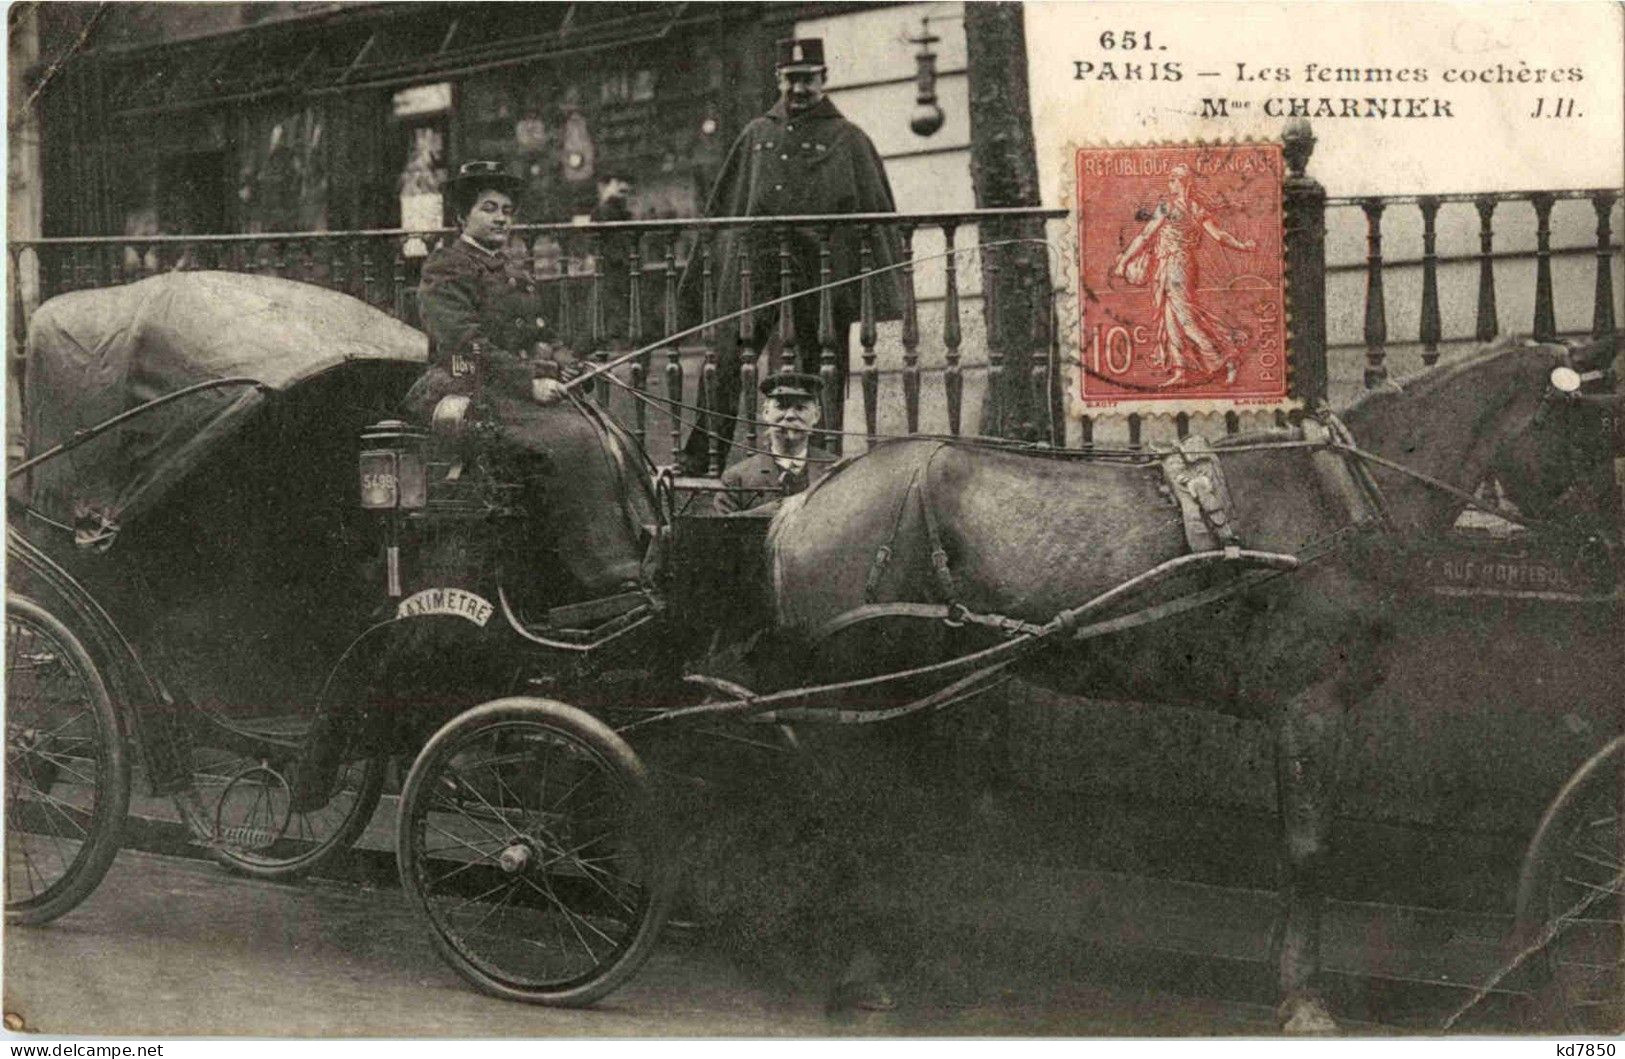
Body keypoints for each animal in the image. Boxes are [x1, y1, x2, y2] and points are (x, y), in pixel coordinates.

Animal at [757, 334, 1612, 1033]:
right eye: (1592, 428)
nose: (1603, 551)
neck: (1338, 494)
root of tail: (804, 500)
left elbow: (1291, 841)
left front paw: (1282, 970)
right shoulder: (1310, 708)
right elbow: (1308, 846)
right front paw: (1303, 996)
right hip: (857, 690)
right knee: (838, 808)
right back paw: (854, 963)